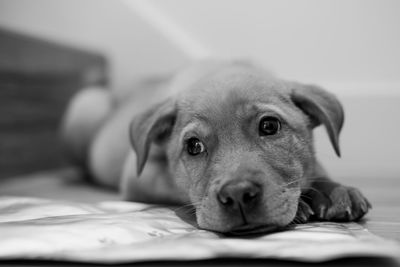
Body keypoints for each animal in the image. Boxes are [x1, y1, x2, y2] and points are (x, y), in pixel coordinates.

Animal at [62, 60, 372, 234]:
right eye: (193, 146)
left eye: (269, 126)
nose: (238, 195)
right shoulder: (138, 174)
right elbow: (183, 189)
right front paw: (304, 204)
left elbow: (313, 165)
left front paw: (331, 191)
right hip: (86, 103)